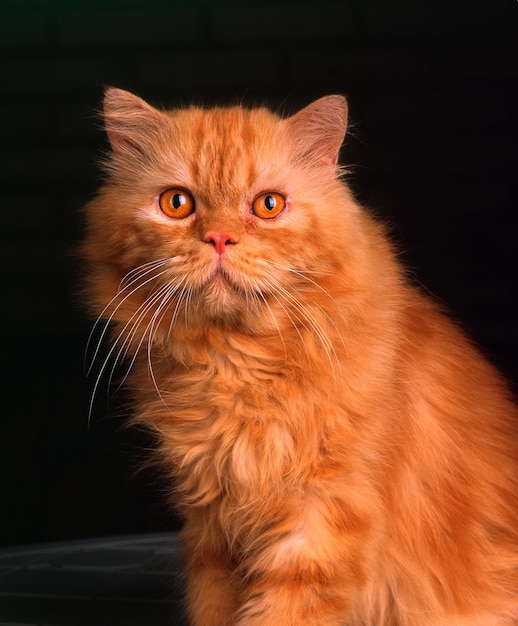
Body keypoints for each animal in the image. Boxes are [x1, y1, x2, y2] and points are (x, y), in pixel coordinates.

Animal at [81, 89, 518, 624]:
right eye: (177, 203)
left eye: (268, 205)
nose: (220, 239)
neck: (238, 367)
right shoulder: (213, 533)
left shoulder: (318, 525)